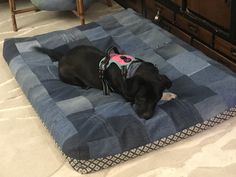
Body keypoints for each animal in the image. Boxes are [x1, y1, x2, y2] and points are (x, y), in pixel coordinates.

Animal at [35, 45, 171, 119]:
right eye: (141, 98)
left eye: (156, 100)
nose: (147, 117)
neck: (131, 68)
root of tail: (62, 56)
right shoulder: (127, 96)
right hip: (69, 76)